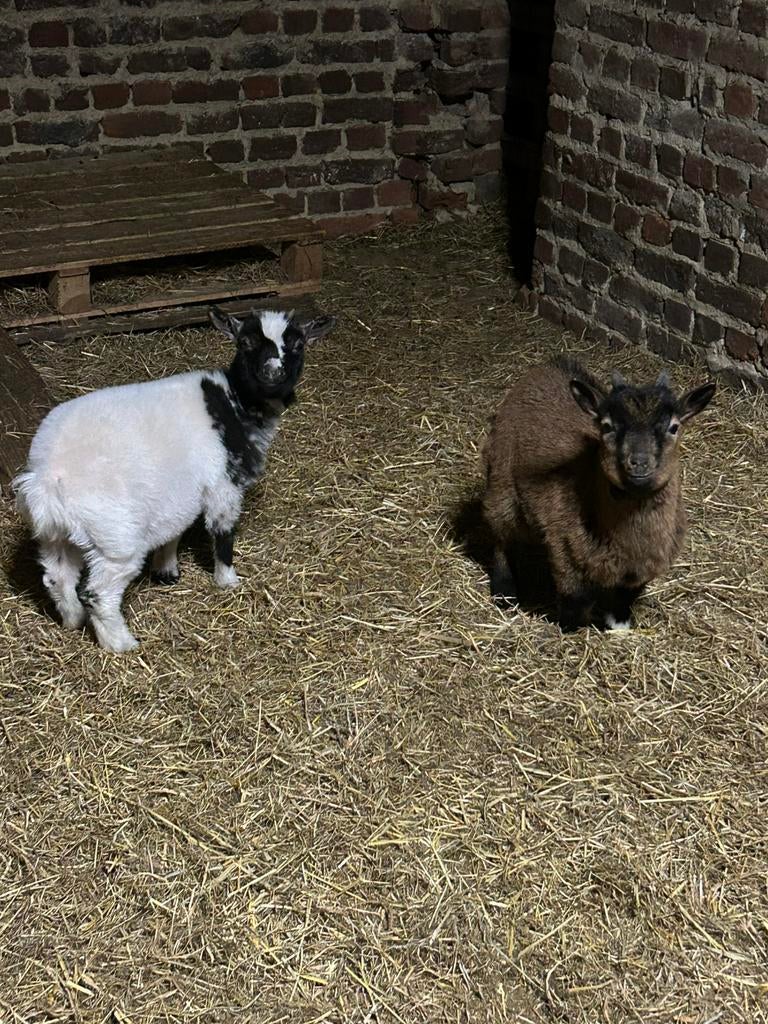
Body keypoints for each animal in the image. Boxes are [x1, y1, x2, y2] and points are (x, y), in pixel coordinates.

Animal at [14, 307, 336, 652]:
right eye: (245, 342)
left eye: (299, 344)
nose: (272, 372)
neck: (237, 402)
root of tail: (48, 478)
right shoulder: (223, 486)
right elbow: (223, 533)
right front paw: (228, 581)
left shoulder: (178, 492)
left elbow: (175, 529)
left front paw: (167, 570)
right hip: (116, 539)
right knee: (98, 593)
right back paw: (122, 644)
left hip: (55, 535)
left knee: (57, 578)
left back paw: (72, 621)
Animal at [482, 357, 716, 632]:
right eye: (607, 426)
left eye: (674, 427)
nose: (639, 463)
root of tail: (547, 366)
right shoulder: (564, 547)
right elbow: (575, 600)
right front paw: (571, 629)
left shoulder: (638, 571)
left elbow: (623, 599)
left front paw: (619, 624)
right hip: (502, 486)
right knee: (501, 536)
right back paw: (504, 592)